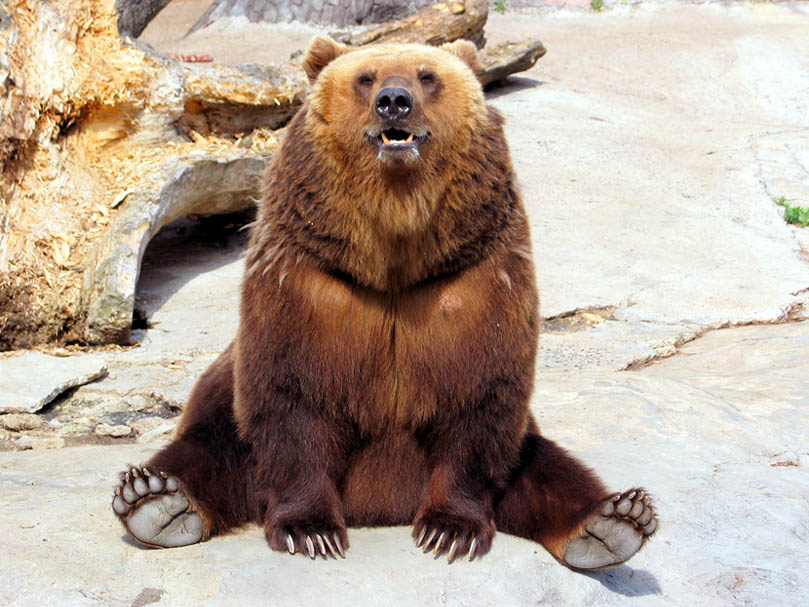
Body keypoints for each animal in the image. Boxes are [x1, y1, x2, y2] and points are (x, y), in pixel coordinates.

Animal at [111, 36, 658, 569]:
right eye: (365, 77)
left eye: (427, 75)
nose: (394, 101)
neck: (394, 252)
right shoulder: (307, 288)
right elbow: (292, 400)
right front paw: (311, 530)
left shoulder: (474, 284)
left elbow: (478, 401)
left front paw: (449, 529)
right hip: (223, 409)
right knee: (208, 453)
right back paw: (156, 500)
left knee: (545, 468)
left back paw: (612, 522)